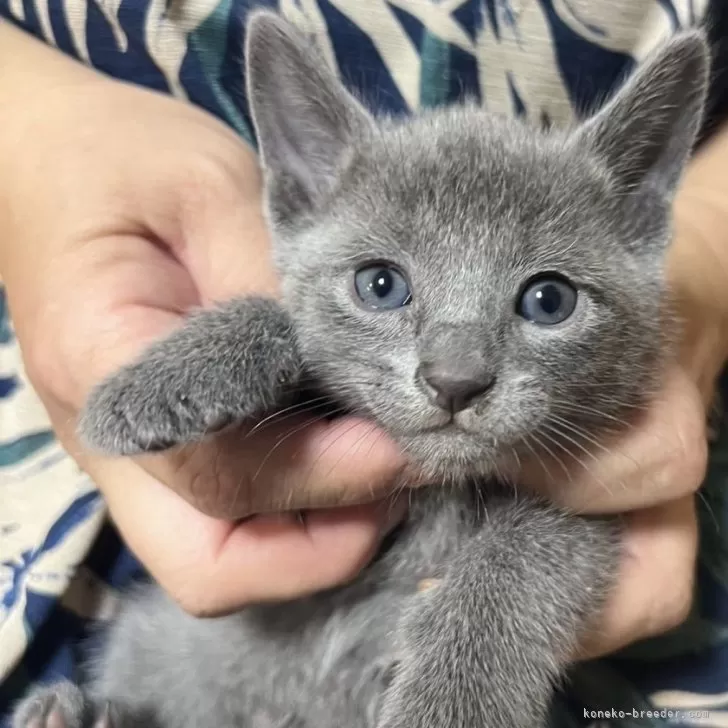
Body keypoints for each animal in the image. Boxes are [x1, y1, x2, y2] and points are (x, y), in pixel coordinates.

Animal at [14, 9, 712, 728]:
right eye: (380, 285)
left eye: (550, 300)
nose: (455, 380)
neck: (442, 491)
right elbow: (287, 329)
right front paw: (162, 378)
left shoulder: (593, 499)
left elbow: (525, 553)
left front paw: (455, 699)